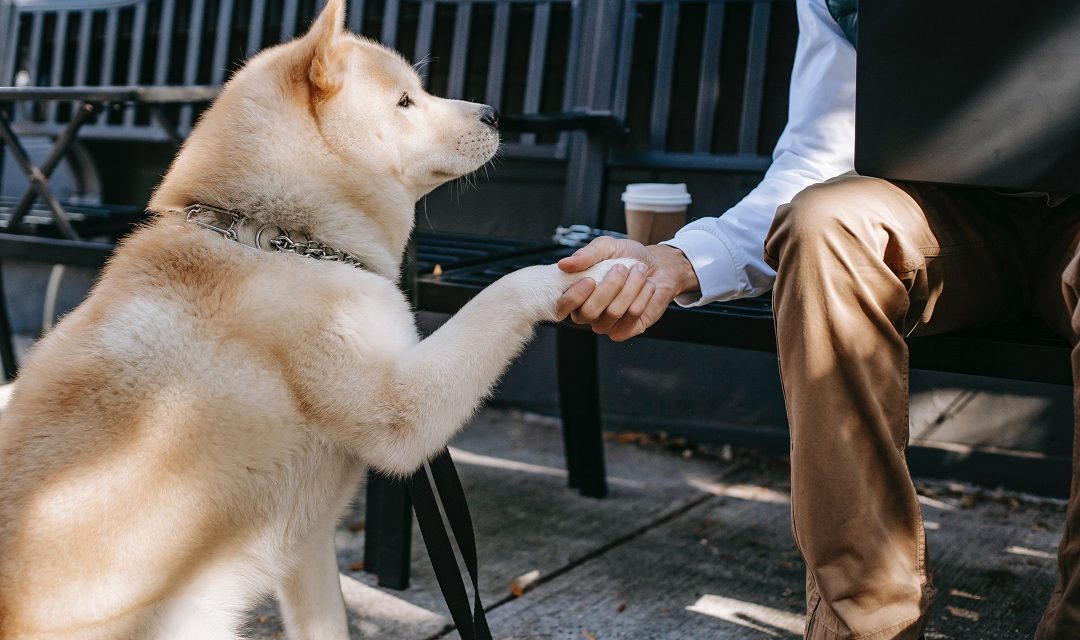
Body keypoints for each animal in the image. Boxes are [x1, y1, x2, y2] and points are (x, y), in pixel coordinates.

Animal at [0, 2, 630, 634]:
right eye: (405, 101)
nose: (495, 114)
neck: (278, 240)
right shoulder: (401, 412)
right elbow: (504, 291)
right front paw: (600, 269)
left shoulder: (307, 548)